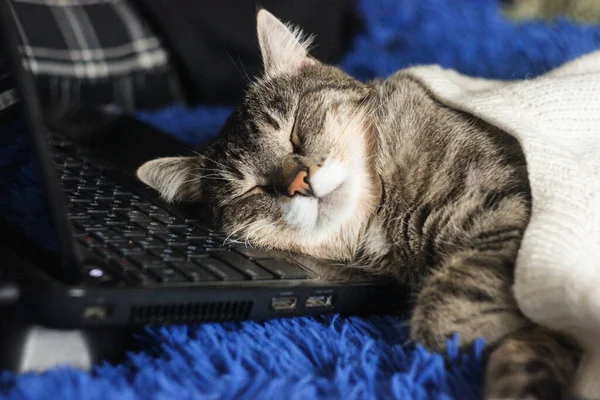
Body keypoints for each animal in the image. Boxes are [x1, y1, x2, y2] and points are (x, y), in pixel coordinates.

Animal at [137, 9, 580, 400]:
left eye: (295, 132)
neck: (384, 209)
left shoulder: (505, 202)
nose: (298, 183)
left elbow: (455, 300)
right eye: (254, 190)